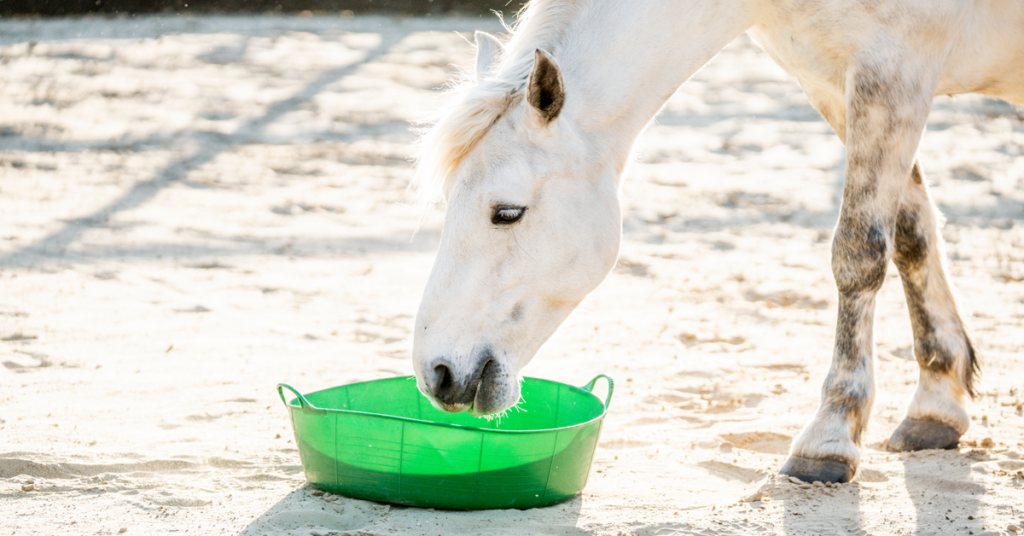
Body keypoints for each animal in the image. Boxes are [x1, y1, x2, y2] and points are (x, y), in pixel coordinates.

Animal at [407, 0, 1024, 484]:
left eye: (507, 213)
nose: (438, 374)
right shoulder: (837, 82)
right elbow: (911, 235)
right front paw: (937, 405)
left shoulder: (894, 72)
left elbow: (859, 253)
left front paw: (830, 437)